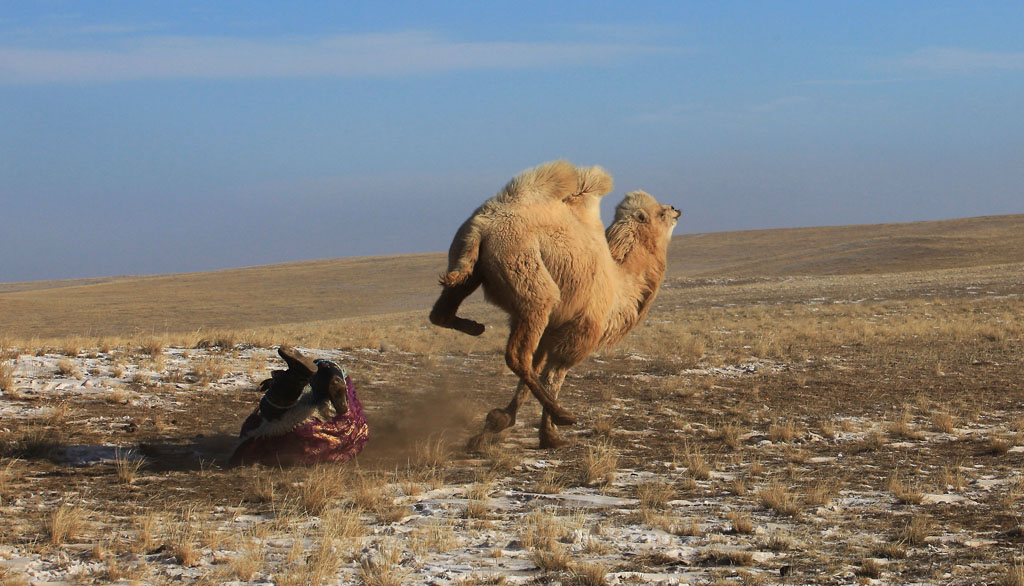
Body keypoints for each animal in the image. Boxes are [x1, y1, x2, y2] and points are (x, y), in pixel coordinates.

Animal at [430, 159, 679, 448]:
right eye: (660, 214)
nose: (676, 209)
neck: (620, 282)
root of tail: (482, 226)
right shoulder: (580, 331)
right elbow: (554, 375)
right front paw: (549, 434)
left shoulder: (553, 329)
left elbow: (536, 369)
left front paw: (497, 423)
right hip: (531, 280)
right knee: (516, 354)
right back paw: (563, 414)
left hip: (469, 263)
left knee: (441, 313)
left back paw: (474, 327)